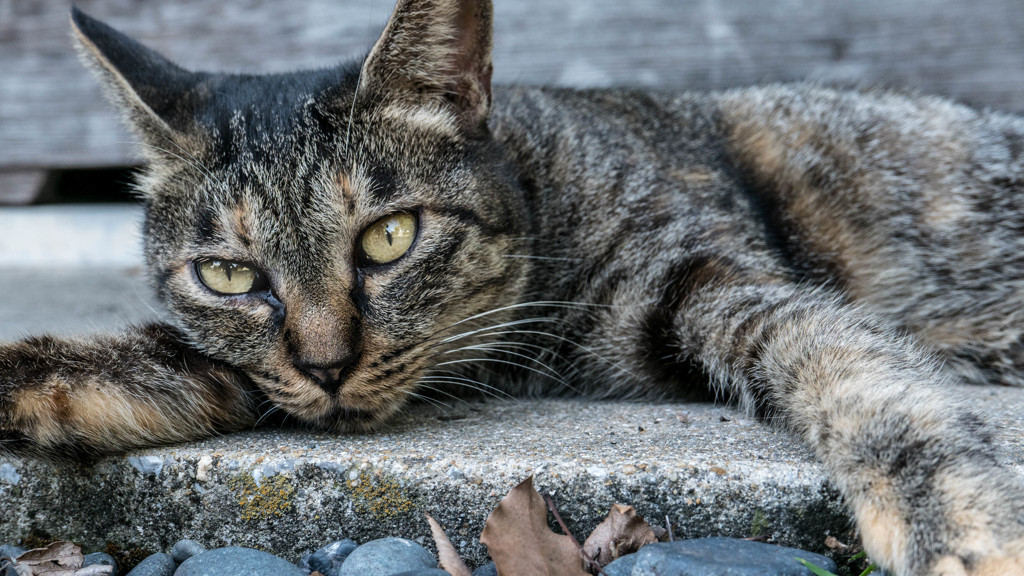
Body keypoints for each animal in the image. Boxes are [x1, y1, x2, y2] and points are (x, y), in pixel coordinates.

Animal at [2, 0, 1024, 569]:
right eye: (229, 275)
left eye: (390, 239)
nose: (329, 365)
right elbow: (170, 359)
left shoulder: (718, 278)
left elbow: (858, 375)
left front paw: (956, 523)